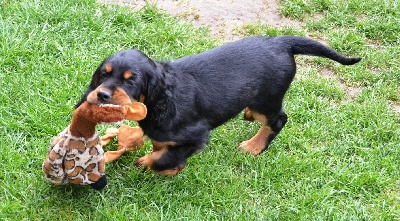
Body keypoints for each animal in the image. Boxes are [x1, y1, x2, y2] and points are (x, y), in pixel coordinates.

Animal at [76, 35, 360, 175]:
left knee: (278, 119)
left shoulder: (196, 134)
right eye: (103, 75)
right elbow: (163, 147)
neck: (159, 100)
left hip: (266, 99)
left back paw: (253, 147)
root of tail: (280, 41)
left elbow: (164, 157)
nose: (102, 95)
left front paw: (154, 165)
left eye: (130, 81)